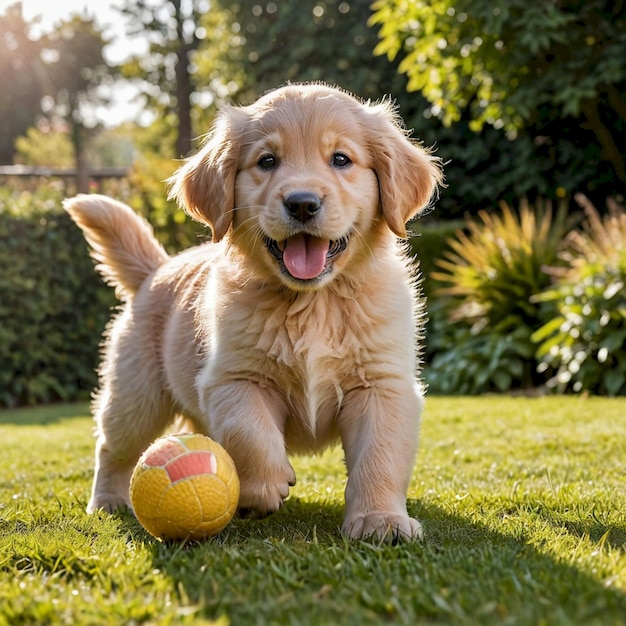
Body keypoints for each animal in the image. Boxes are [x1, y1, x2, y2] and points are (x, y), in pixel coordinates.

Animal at [66, 84, 442, 540]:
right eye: (267, 161)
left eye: (341, 160)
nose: (302, 204)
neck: (313, 302)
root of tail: (157, 268)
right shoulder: (233, 377)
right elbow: (249, 432)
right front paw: (262, 487)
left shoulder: (382, 384)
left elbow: (380, 455)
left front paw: (379, 520)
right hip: (136, 396)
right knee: (112, 447)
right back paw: (107, 500)